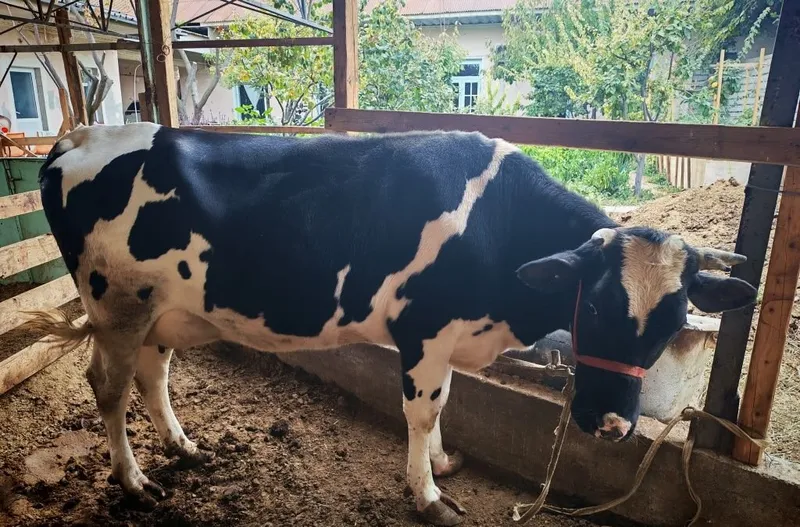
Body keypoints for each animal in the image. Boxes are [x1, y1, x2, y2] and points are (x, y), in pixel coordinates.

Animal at [27, 123, 756, 526]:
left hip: (159, 311)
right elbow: (424, 410)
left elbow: (447, 406)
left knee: (153, 377)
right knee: (109, 387)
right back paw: (134, 480)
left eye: (672, 322)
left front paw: (440, 463)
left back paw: (182, 446)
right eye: (598, 306)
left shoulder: (451, 337)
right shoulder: (425, 333)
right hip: (116, 307)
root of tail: (79, 137)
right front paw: (428, 493)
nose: (610, 426)